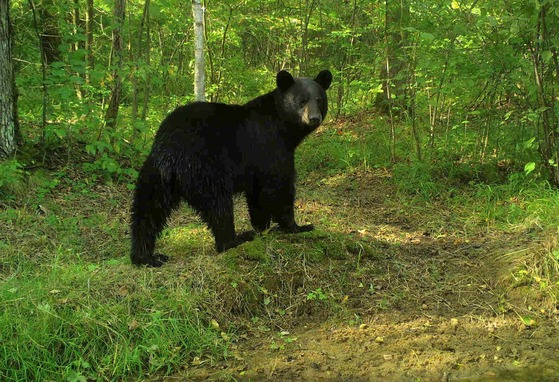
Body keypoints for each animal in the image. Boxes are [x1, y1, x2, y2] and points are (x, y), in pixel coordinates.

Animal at [131, 69, 332, 266]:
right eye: (302, 100)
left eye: (319, 99)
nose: (314, 118)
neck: (284, 127)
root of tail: (168, 146)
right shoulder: (271, 147)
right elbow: (280, 186)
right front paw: (298, 226)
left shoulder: (257, 167)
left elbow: (257, 195)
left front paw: (262, 228)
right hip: (204, 168)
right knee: (219, 204)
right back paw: (235, 240)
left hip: (156, 174)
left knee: (148, 209)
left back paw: (145, 256)